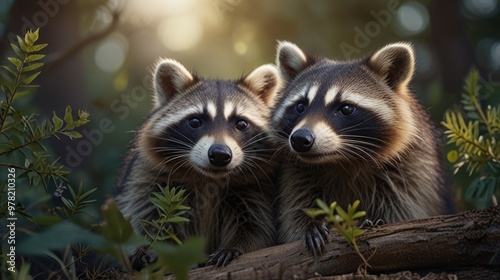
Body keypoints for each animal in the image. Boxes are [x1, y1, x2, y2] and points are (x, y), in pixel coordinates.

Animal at [115, 58, 284, 266]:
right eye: (195, 122)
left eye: (241, 123)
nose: (220, 155)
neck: (207, 178)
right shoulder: (147, 176)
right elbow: (144, 216)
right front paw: (148, 249)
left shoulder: (254, 186)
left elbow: (256, 226)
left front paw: (235, 247)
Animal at [272, 42, 456, 256]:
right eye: (300, 106)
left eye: (345, 108)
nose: (300, 139)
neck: (342, 160)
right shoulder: (294, 172)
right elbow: (293, 210)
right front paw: (310, 224)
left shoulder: (414, 166)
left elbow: (408, 208)